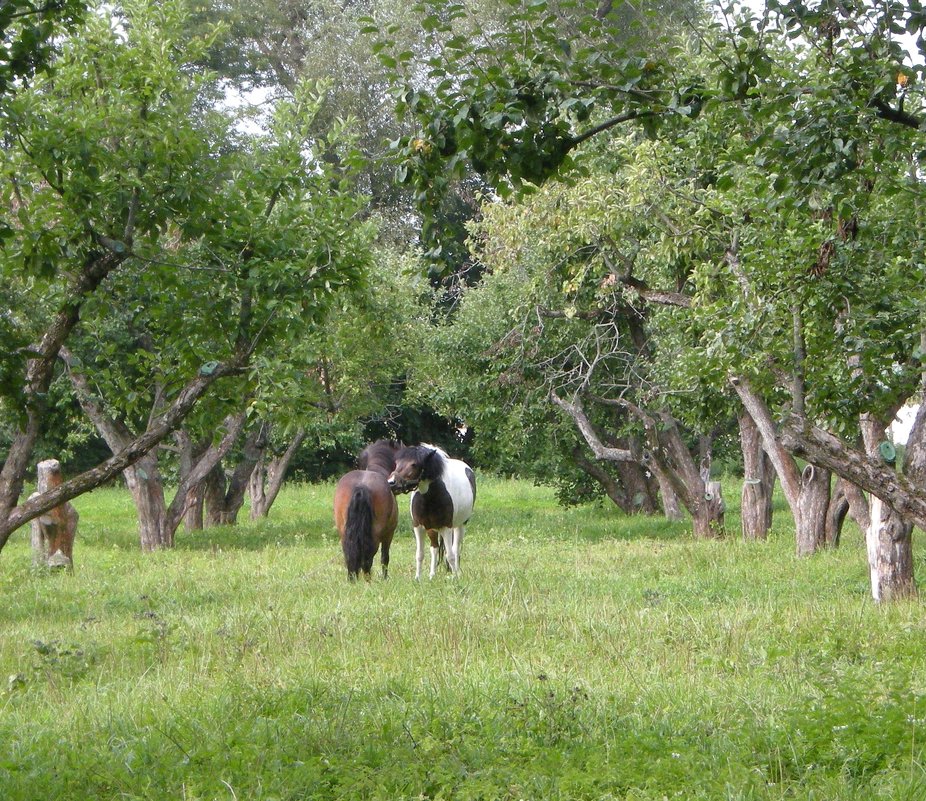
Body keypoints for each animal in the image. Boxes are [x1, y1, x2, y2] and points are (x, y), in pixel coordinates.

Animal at [338, 440, 402, 580]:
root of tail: (362, 486)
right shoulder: (389, 533)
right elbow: (385, 557)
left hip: (344, 533)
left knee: (350, 556)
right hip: (375, 535)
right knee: (367, 560)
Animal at [388, 440, 478, 580]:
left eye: (414, 464)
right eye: (397, 463)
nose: (391, 482)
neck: (431, 497)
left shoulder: (446, 527)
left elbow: (450, 555)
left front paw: (455, 578)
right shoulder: (418, 527)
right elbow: (420, 554)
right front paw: (418, 578)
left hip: (460, 525)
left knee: (455, 549)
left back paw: (456, 572)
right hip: (432, 529)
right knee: (434, 548)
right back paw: (432, 575)